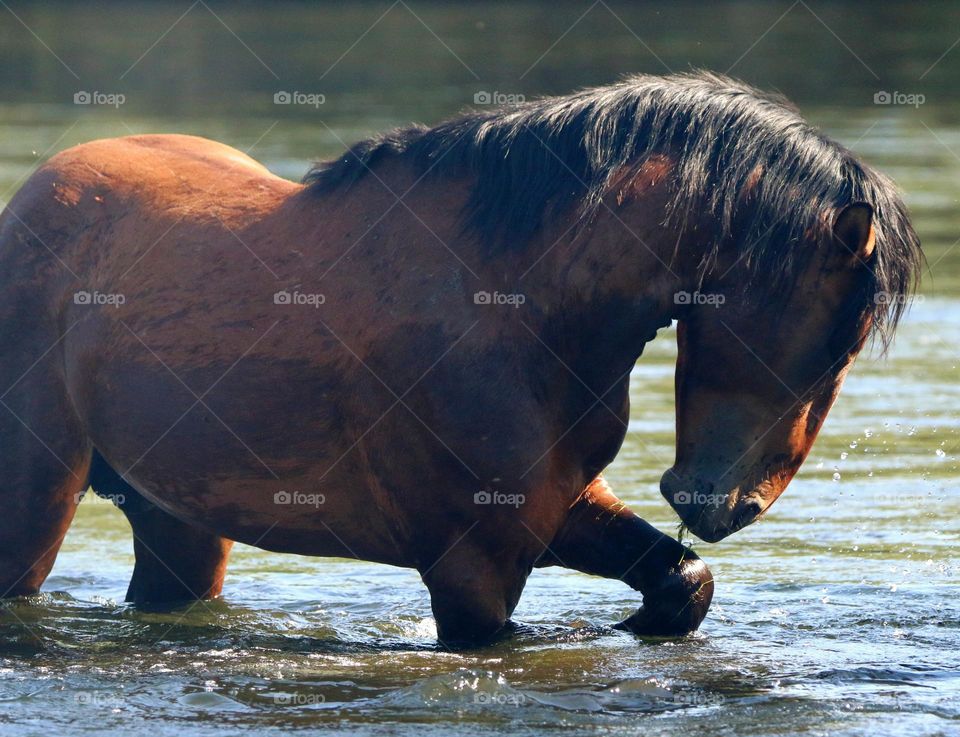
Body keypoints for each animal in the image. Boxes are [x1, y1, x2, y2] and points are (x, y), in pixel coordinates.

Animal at [0, 72, 920, 647]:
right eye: (840, 336)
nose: (728, 505)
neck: (515, 308)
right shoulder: (472, 568)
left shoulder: (555, 510)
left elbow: (685, 581)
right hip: (35, 506)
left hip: (178, 524)